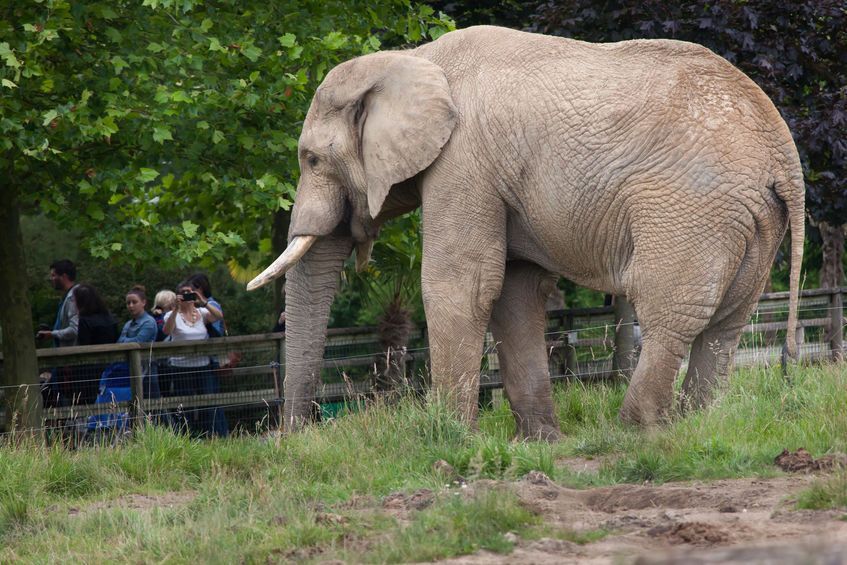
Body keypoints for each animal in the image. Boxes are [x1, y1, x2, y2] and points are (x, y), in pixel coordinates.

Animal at [248, 25, 804, 440]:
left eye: (311, 159)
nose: (296, 437)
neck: (410, 60)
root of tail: (783, 155)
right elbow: (513, 290)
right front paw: (538, 443)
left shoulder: (463, 161)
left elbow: (462, 284)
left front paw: (453, 439)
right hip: (753, 219)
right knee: (726, 323)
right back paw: (693, 427)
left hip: (691, 209)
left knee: (670, 311)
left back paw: (634, 430)